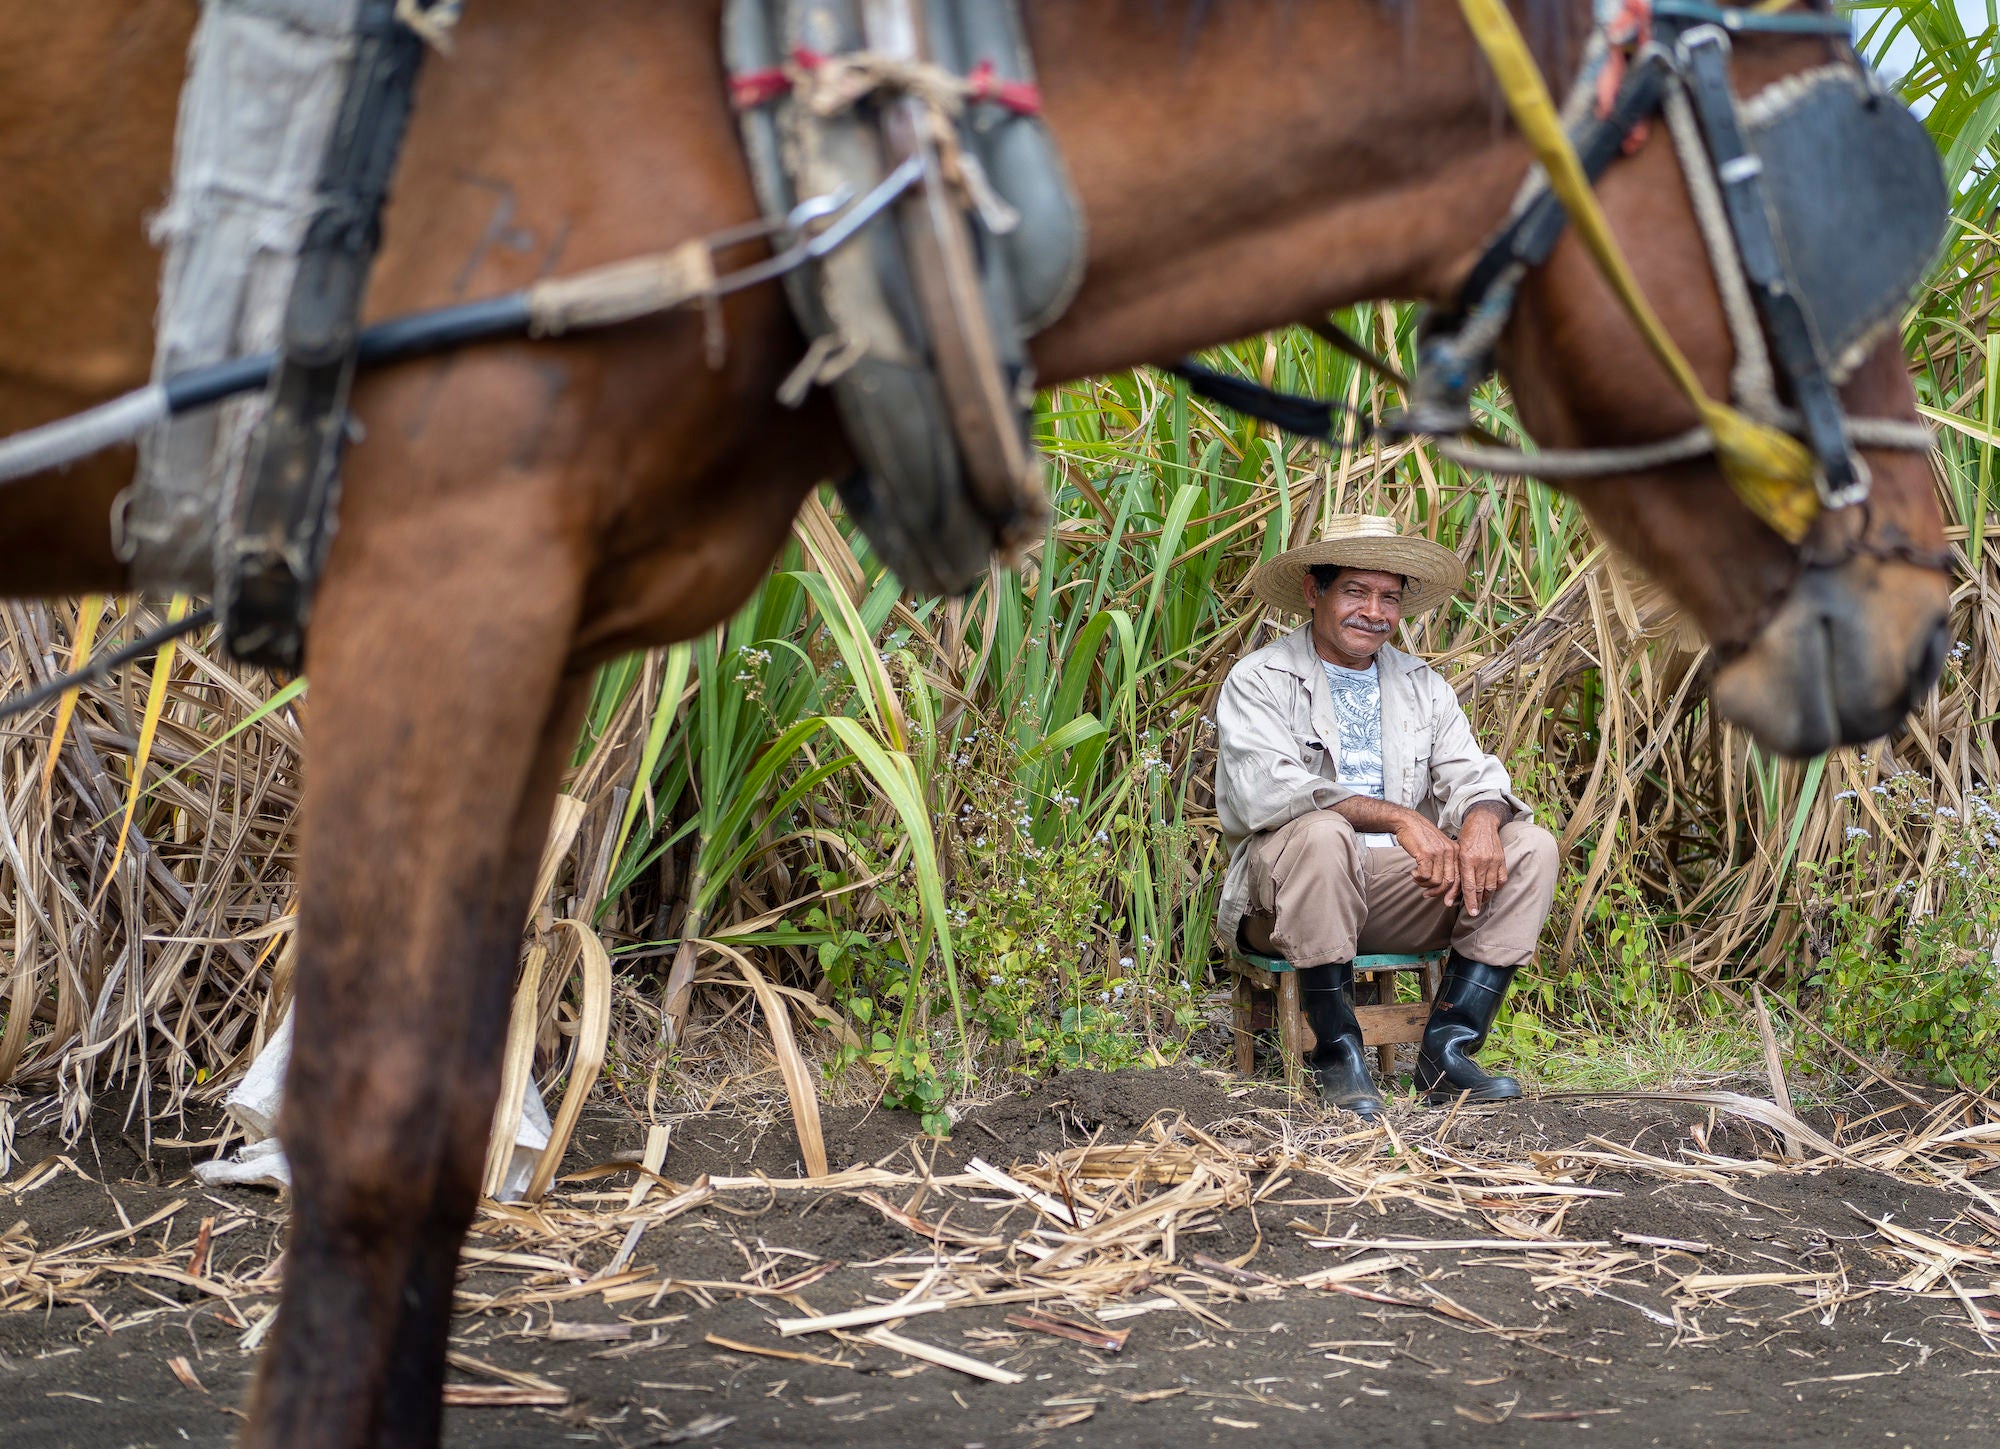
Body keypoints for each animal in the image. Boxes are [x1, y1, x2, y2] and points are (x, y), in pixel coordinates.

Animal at [0, 5, 1952, 1440]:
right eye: (1850, 214)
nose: (1936, 602)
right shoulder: (445, 549)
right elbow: (381, 1125)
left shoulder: (552, 611)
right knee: (1327, 870)